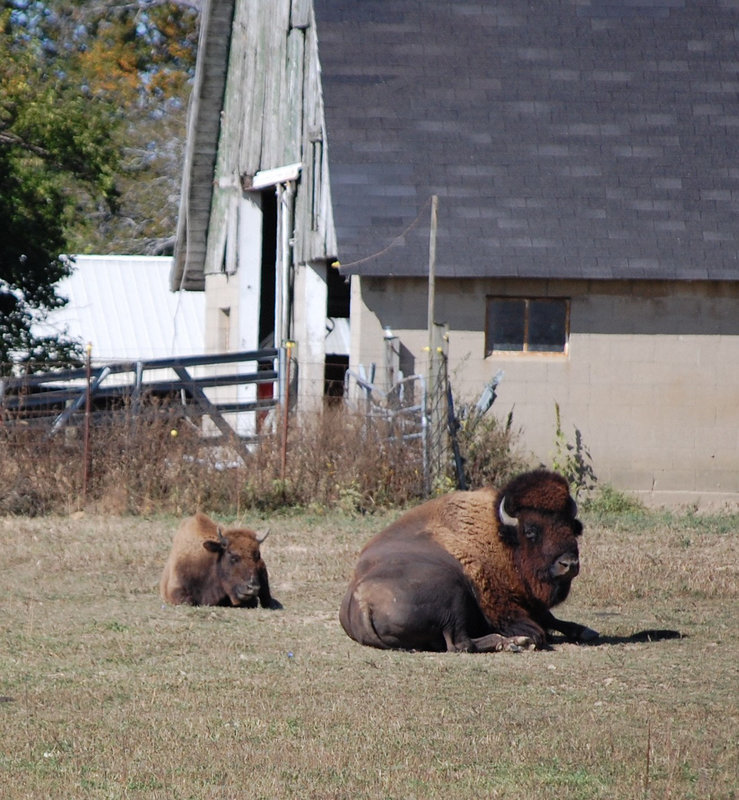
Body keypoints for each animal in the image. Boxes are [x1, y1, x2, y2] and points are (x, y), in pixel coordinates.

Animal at [338, 468, 600, 648]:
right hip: (454, 593)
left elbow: (552, 618)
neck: (501, 536)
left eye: (572, 527)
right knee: (461, 643)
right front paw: (529, 637)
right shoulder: (502, 605)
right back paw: (513, 642)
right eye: (530, 531)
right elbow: (538, 628)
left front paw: (588, 632)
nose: (569, 564)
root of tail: (363, 603)